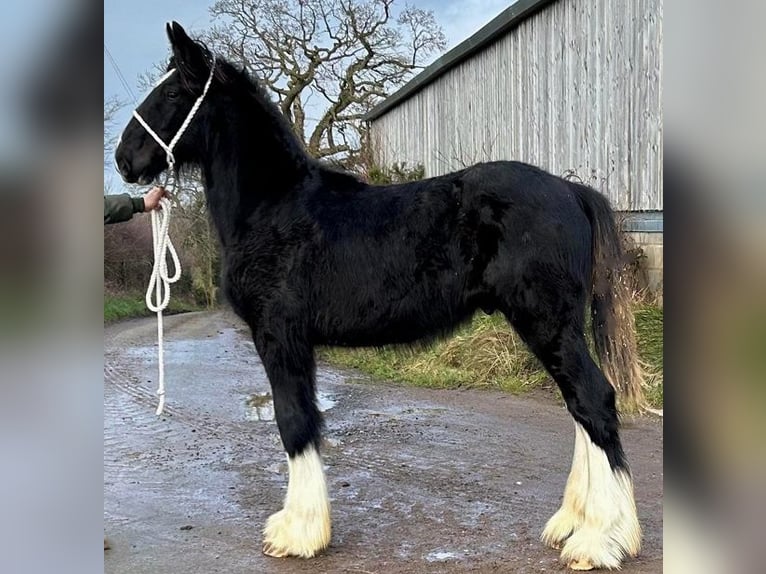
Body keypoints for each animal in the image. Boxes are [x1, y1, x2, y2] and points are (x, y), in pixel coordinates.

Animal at [114, 21, 640, 572]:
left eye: (173, 93)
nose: (124, 160)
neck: (274, 207)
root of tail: (570, 190)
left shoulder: (279, 336)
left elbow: (294, 420)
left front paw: (298, 533)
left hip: (546, 322)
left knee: (593, 401)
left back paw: (598, 540)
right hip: (555, 327)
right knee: (579, 408)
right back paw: (576, 525)